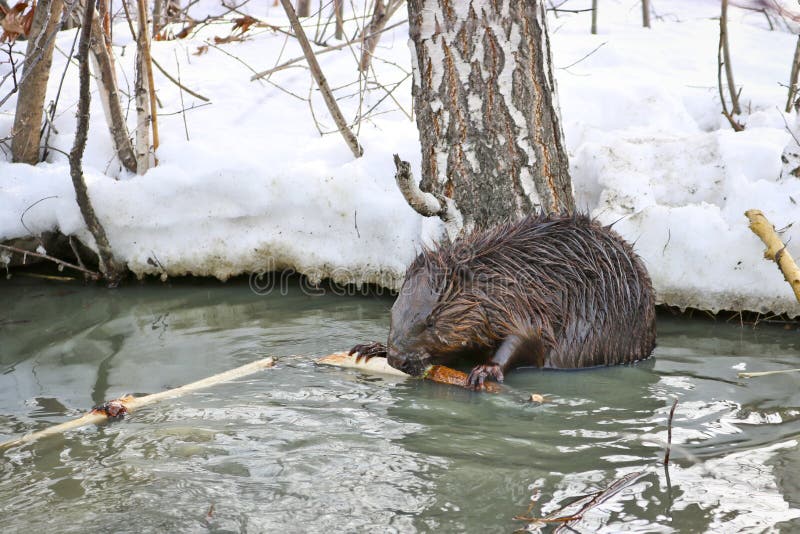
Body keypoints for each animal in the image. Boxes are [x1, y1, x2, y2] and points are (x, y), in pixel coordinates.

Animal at [350, 213, 656, 390]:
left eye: (431, 322)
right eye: (394, 312)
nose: (397, 358)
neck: (498, 273)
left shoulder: (523, 302)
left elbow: (528, 335)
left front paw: (484, 371)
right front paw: (369, 348)